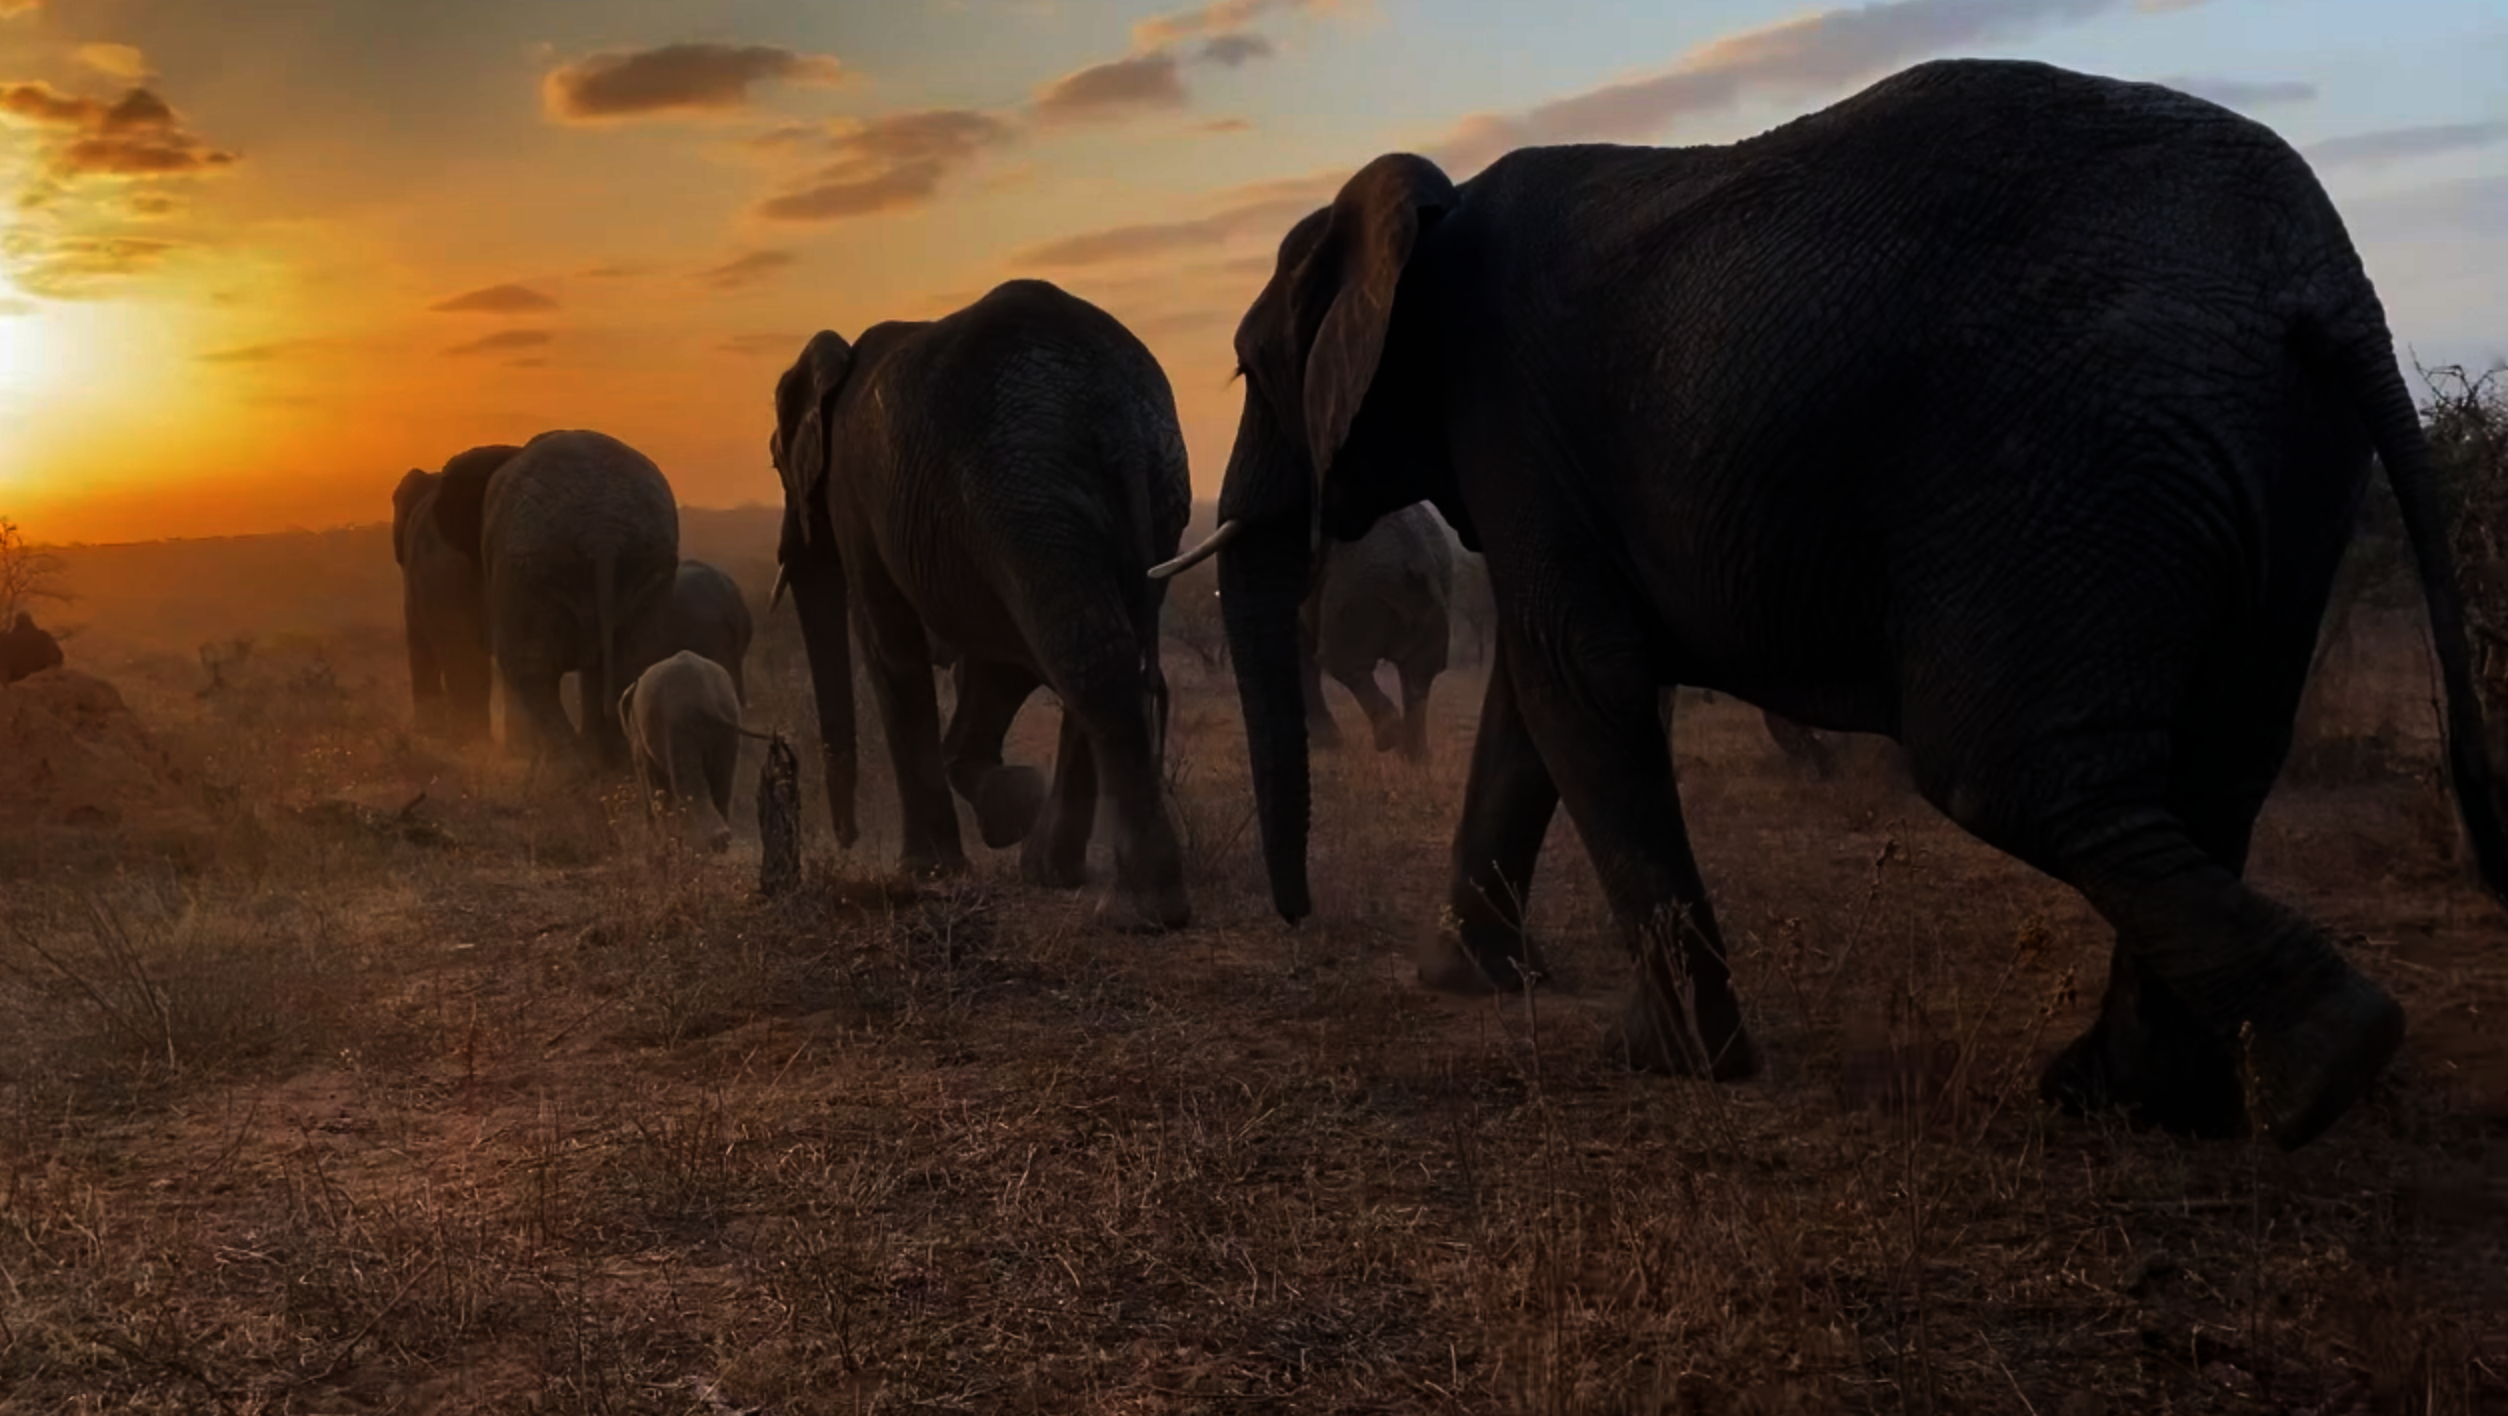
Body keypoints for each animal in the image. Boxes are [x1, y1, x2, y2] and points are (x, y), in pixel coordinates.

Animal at [477, 430, 682, 770]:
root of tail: (603, 532)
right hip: (650, 563)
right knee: (635, 660)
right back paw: (613, 768)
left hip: (533, 564)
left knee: (529, 667)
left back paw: (568, 774)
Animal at [619, 649, 774, 853]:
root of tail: (706, 694)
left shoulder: (640, 734)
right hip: (729, 721)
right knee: (722, 778)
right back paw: (719, 844)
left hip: (678, 721)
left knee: (685, 779)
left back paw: (707, 844)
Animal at [766, 278, 1194, 930]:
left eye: (775, 460)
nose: (844, 840)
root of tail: (1114, 409)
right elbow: (997, 663)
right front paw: (1008, 810)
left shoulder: (854, 493)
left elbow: (887, 640)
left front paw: (928, 871)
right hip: (1138, 485)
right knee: (1092, 645)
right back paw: (1059, 875)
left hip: (1021, 487)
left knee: (1081, 655)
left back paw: (1136, 910)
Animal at [1296, 499, 1455, 762]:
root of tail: (1422, 563)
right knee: (1418, 672)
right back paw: (1415, 757)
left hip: (1358, 589)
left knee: (1341, 658)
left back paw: (1390, 738)